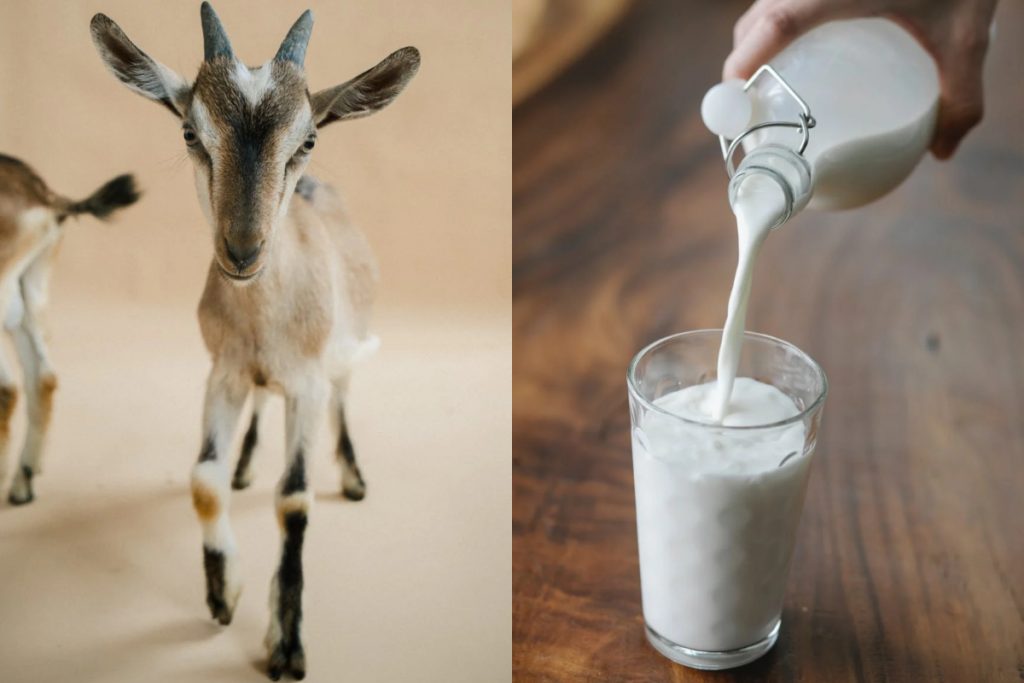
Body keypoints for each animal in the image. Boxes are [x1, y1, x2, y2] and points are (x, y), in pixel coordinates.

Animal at [90, 4, 419, 679]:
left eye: (309, 139)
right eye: (190, 132)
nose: (242, 250)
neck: (265, 320)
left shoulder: (308, 385)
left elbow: (293, 499)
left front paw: (287, 645)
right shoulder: (223, 373)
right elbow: (201, 478)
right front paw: (223, 594)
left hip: (343, 355)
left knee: (346, 395)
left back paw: (353, 477)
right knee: (260, 414)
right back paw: (245, 465)